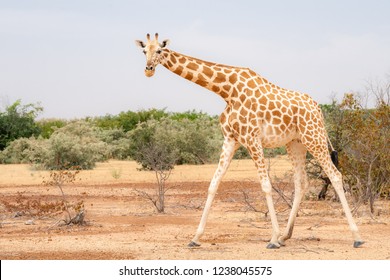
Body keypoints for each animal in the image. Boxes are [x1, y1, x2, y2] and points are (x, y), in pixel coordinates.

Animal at [136, 33, 364, 249]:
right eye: (144, 51)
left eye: (159, 50)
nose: (148, 70)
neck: (226, 91)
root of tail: (318, 109)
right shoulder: (230, 139)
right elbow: (213, 184)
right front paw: (195, 238)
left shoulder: (252, 139)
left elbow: (266, 185)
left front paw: (272, 238)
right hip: (296, 143)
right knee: (301, 181)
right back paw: (286, 236)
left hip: (314, 137)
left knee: (335, 175)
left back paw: (356, 237)